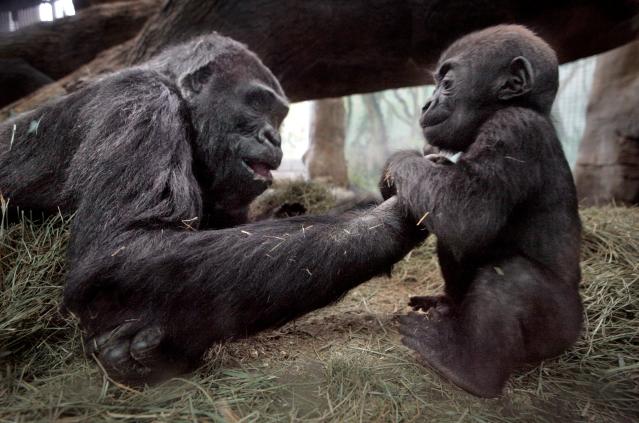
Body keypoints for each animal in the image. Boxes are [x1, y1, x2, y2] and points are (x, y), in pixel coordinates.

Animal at [0, 34, 422, 384]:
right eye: (256, 102)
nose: (274, 136)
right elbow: (123, 246)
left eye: (279, 115)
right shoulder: (141, 102)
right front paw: (390, 218)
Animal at [382, 25, 584, 398]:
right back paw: (448, 307)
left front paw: (397, 162)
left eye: (447, 83)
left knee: (509, 279)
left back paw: (469, 369)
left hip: (561, 330)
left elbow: (467, 213)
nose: (427, 103)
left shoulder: (513, 129)